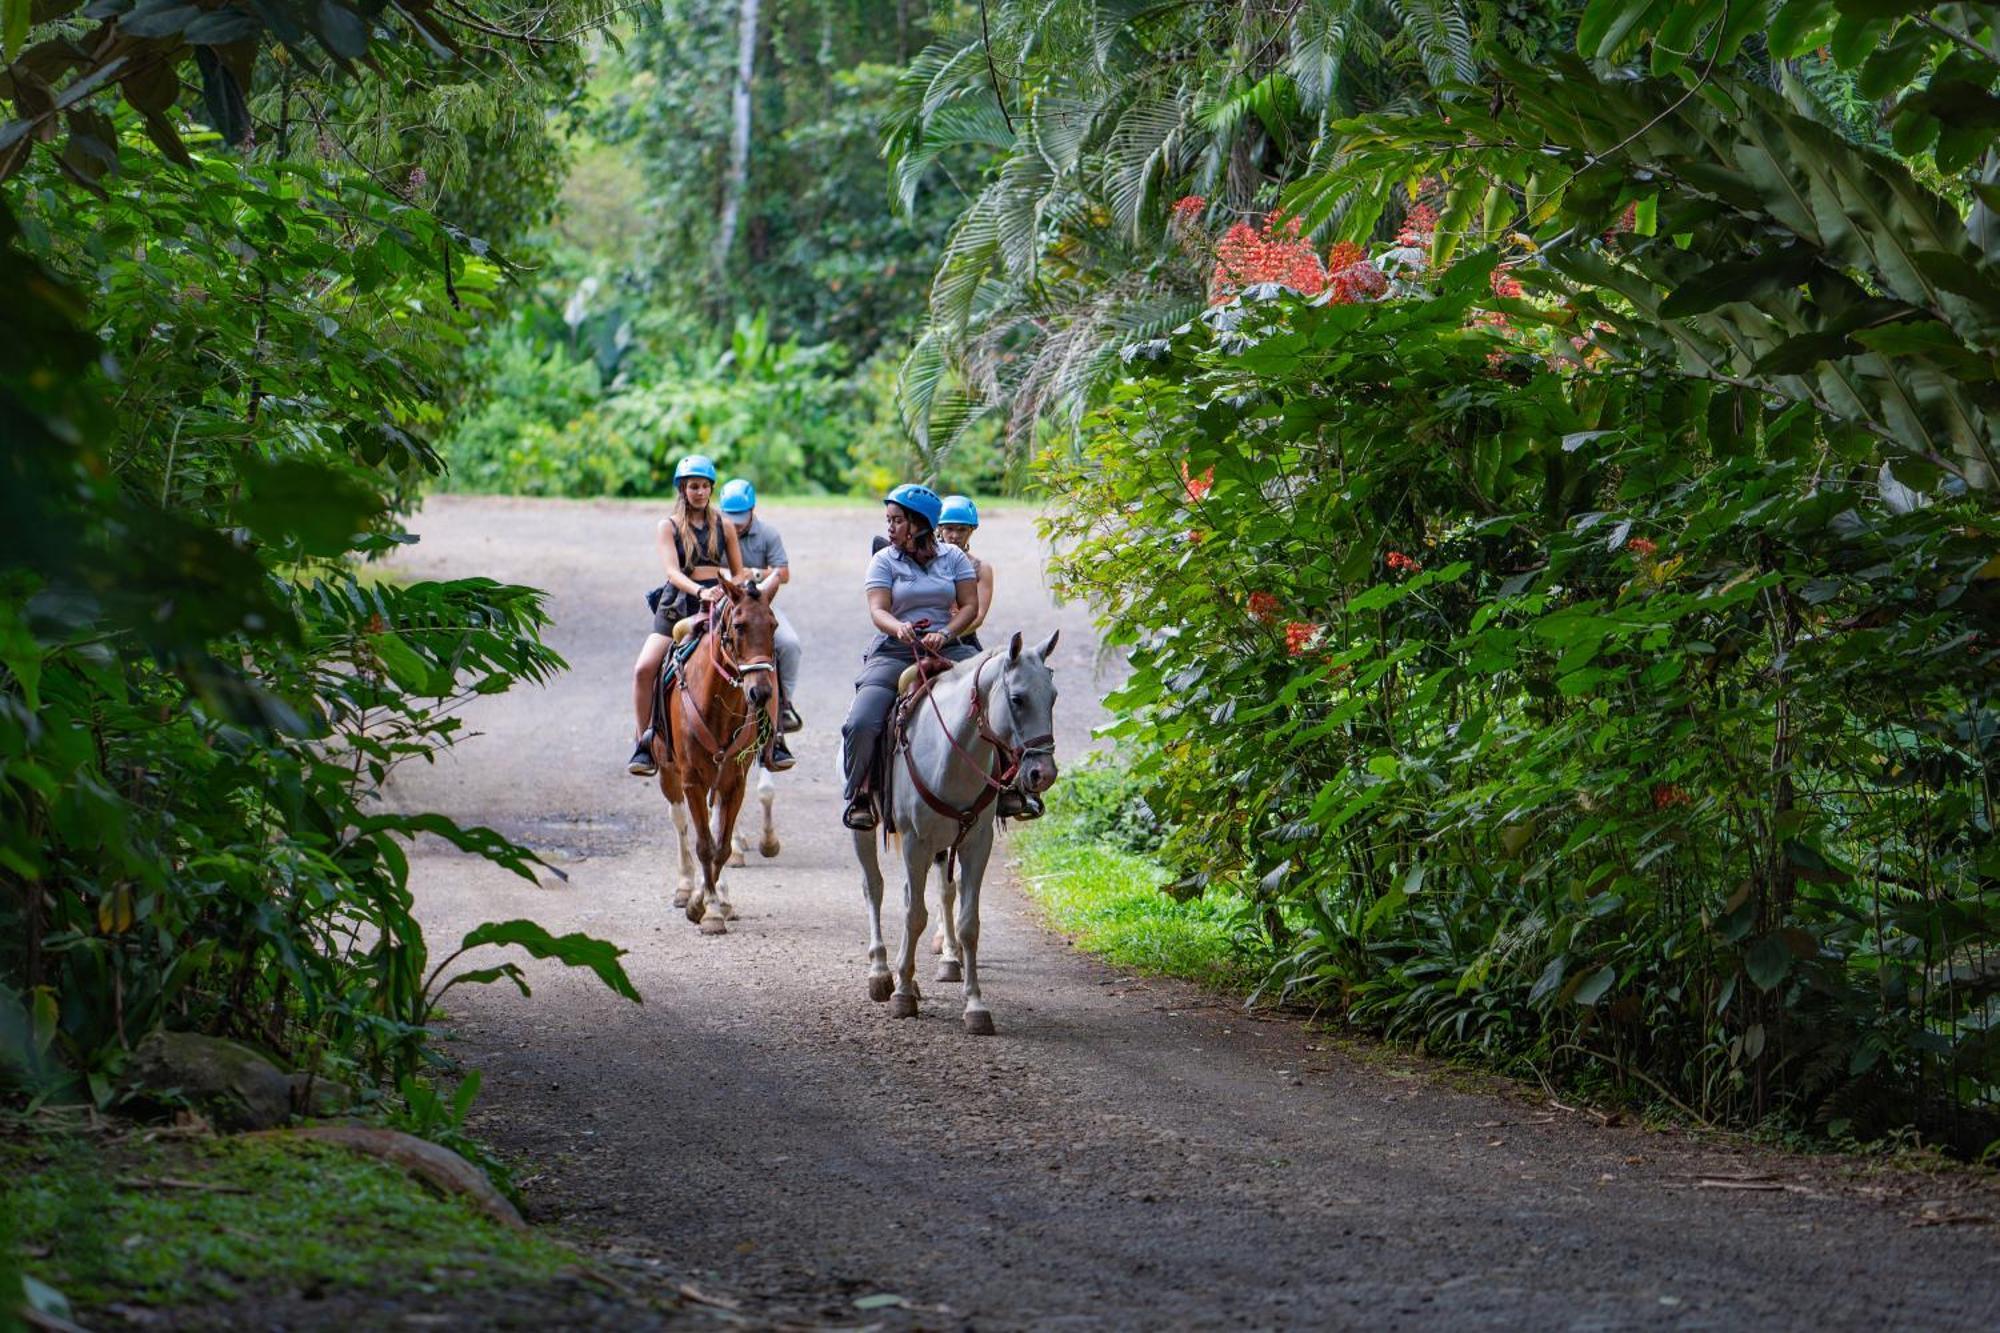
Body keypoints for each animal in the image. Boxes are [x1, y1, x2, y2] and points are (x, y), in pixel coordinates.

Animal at [656, 572, 780, 932]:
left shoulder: (734, 781)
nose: (761, 692)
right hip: (668, 771)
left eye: (773, 625)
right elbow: (703, 846)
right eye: (738, 626)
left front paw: (712, 902)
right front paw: (705, 908)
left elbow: (720, 847)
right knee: (680, 821)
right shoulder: (692, 780)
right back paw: (685, 887)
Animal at [852, 628, 1064, 1032]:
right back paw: (882, 973)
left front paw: (975, 1005)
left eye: (1053, 696)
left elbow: (968, 923)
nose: (1042, 774)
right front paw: (902, 995)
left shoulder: (976, 844)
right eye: (1017, 698)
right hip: (868, 831)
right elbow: (914, 915)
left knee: (934, 892)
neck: (950, 755)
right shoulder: (915, 842)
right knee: (875, 889)